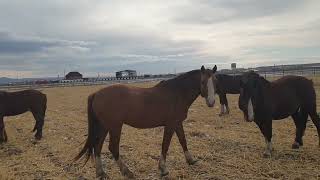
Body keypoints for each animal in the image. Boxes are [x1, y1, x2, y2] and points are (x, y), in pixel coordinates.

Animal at [73, 65, 218, 179]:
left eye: (215, 81)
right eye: (203, 82)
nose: (211, 102)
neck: (177, 93)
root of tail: (96, 93)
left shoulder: (177, 123)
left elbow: (183, 140)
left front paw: (191, 160)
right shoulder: (170, 125)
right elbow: (165, 145)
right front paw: (163, 169)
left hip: (104, 126)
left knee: (97, 147)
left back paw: (101, 173)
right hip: (115, 126)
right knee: (112, 147)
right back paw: (127, 172)